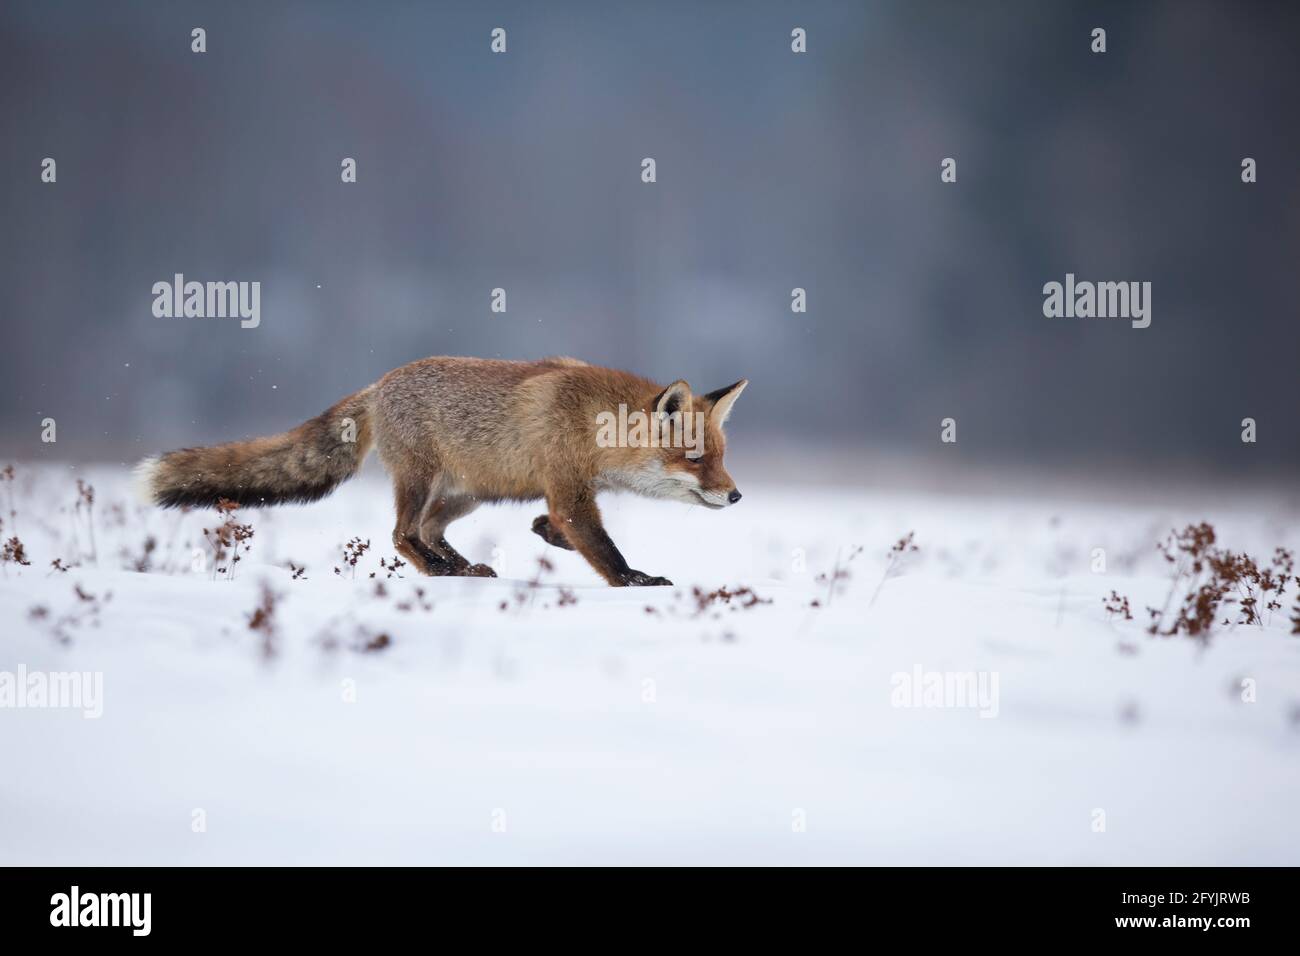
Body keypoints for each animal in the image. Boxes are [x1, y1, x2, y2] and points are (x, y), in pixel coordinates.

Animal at [135, 356, 748, 587]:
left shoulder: (564, 493)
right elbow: (604, 549)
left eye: (721, 457)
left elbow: (562, 529)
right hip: (420, 480)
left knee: (428, 530)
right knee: (402, 535)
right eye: (696, 460)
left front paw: (545, 534)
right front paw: (634, 582)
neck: (592, 424)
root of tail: (379, 383)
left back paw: (461, 568)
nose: (737, 496)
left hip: (469, 494)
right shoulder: (570, 490)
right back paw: (439, 571)